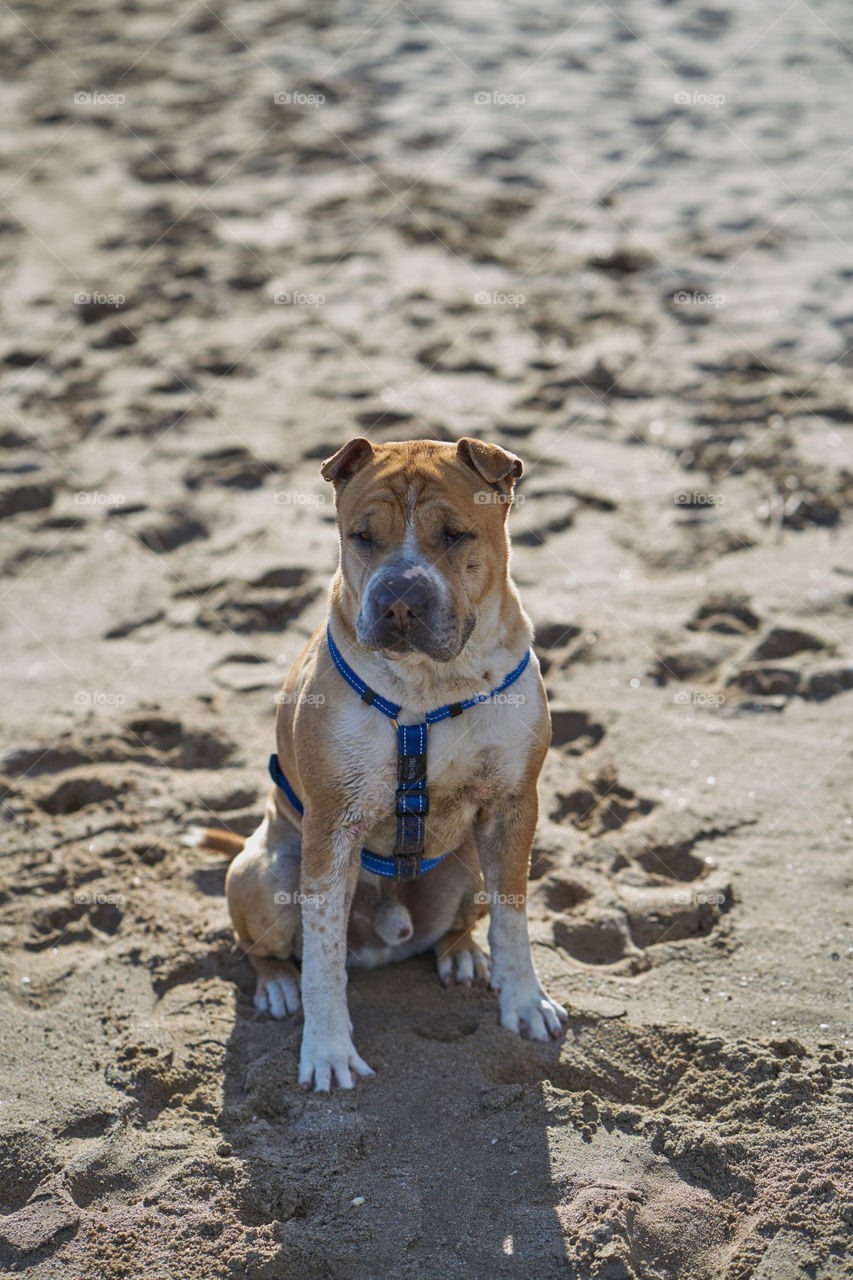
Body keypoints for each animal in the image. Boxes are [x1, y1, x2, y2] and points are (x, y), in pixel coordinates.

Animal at [192, 440, 563, 1090]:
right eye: (361, 536)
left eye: (455, 535)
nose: (399, 602)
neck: (432, 685)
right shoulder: (331, 828)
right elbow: (323, 959)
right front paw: (328, 1051)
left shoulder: (512, 807)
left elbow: (513, 919)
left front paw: (523, 1001)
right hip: (267, 874)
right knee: (268, 950)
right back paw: (279, 987)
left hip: (466, 865)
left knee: (462, 921)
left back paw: (461, 954)